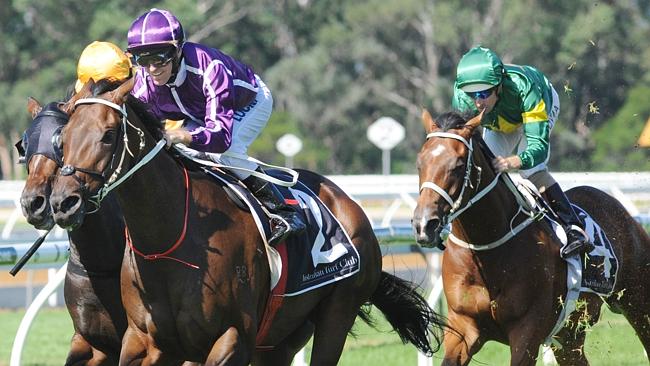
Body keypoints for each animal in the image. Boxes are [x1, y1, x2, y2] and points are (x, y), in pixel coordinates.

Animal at [46, 78, 446, 366]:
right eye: (62, 138)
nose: (63, 202)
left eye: (108, 135)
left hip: (337, 312)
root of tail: (348, 203)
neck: (167, 240)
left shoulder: (231, 338)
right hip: (282, 337)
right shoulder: (143, 341)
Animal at [410, 110, 648, 364]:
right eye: (420, 163)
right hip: (569, 335)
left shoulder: (527, 331)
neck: (487, 251)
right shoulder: (462, 327)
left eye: (457, 164)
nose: (424, 224)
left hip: (638, 303)